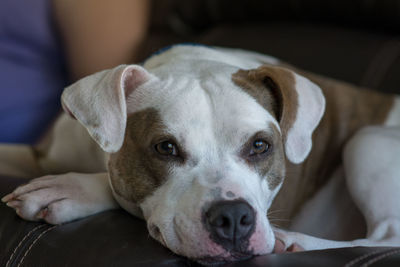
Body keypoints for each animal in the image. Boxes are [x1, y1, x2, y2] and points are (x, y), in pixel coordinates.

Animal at [0, 45, 400, 264]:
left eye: (260, 146)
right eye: (165, 147)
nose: (234, 218)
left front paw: (69, 189)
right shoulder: (40, 153)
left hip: (367, 139)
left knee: (387, 235)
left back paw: (295, 242)